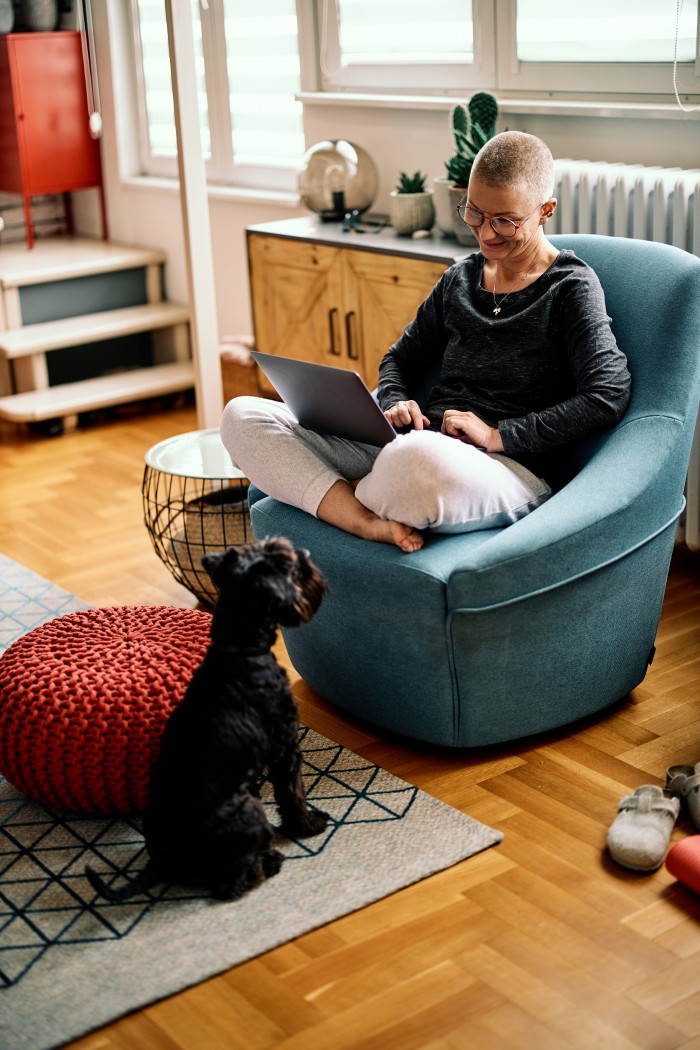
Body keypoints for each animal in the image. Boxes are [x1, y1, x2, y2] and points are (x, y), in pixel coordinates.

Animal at [87, 541, 329, 902]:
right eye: (286, 563)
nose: (307, 553)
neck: (239, 648)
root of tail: (160, 861)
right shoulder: (285, 747)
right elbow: (293, 793)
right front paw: (309, 825)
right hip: (248, 812)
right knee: (233, 884)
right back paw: (270, 861)